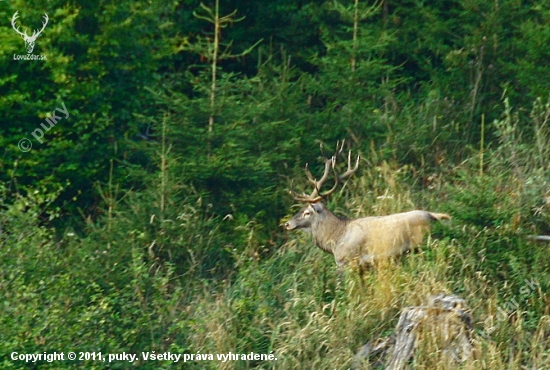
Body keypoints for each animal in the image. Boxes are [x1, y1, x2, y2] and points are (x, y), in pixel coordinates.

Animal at [284, 140, 452, 268]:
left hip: (422, 243)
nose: (287, 224)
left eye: (307, 212)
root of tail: (434, 216)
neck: (335, 240)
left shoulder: (346, 262)